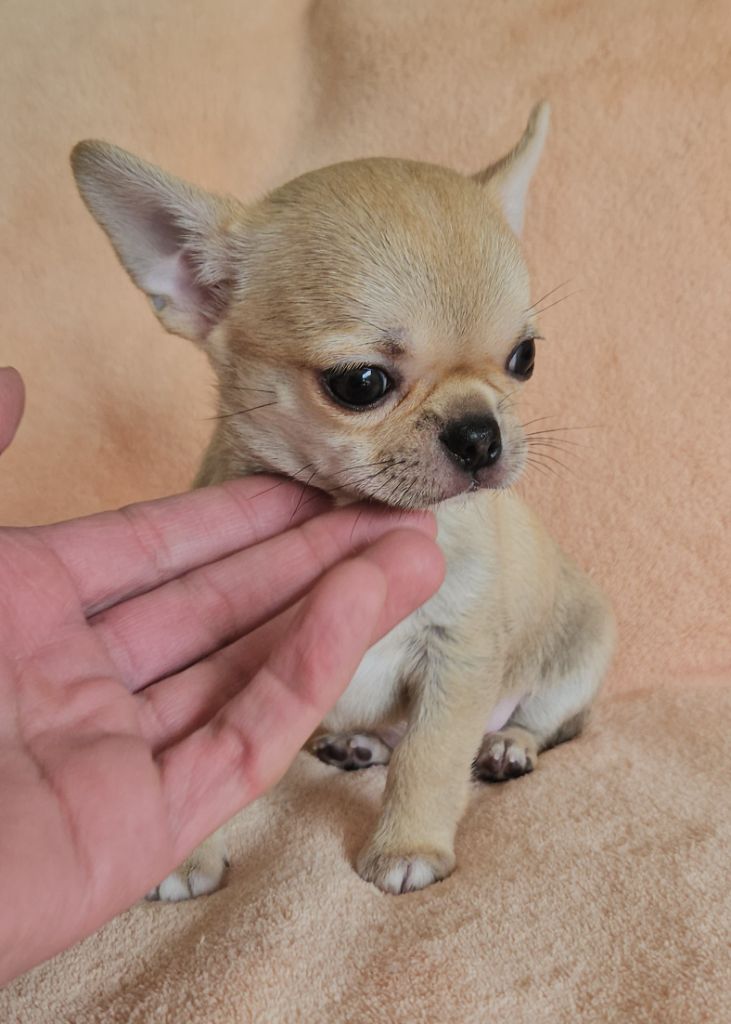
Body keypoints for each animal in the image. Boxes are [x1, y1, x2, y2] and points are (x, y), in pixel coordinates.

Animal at [71, 102, 614, 897]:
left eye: (524, 358)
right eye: (360, 384)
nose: (480, 434)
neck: (347, 507)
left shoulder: (458, 655)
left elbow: (431, 757)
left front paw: (408, 845)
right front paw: (187, 855)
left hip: (577, 646)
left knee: (548, 720)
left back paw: (507, 745)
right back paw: (355, 742)